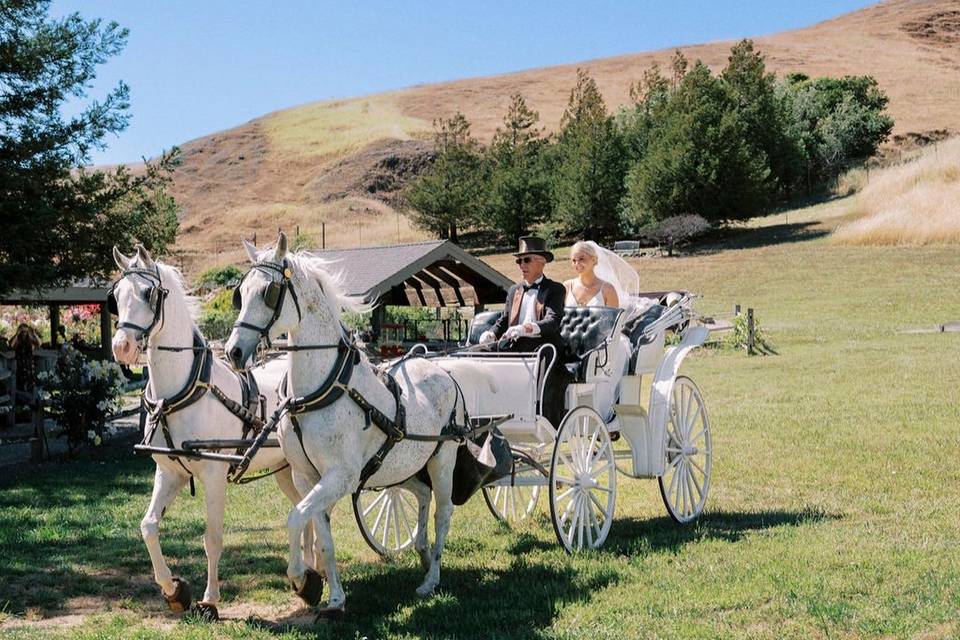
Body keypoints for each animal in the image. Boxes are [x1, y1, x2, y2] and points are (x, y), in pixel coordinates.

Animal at [112, 245, 316, 620]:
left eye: (148, 293)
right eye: (116, 296)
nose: (122, 347)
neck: (179, 394)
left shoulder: (214, 474)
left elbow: (212, 538)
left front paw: (209, 599)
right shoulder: (171, 472)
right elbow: (148, 526)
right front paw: (173, 589)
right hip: (285, 469)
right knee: (304, 509)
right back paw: (310, 570)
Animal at [224, 234, 488, 616]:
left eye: (268, 293)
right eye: (241, 293)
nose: (233, 353)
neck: (321, 390)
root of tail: (443, 371)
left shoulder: (341, 476)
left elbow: (295, 517)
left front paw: (301, 580)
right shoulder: (308, 477)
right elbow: (322, 535)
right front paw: (333, 596)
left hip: (442, 458)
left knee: (443, 511)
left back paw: (431, 578)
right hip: (402, 466)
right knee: (422, 496)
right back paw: (423, 554)